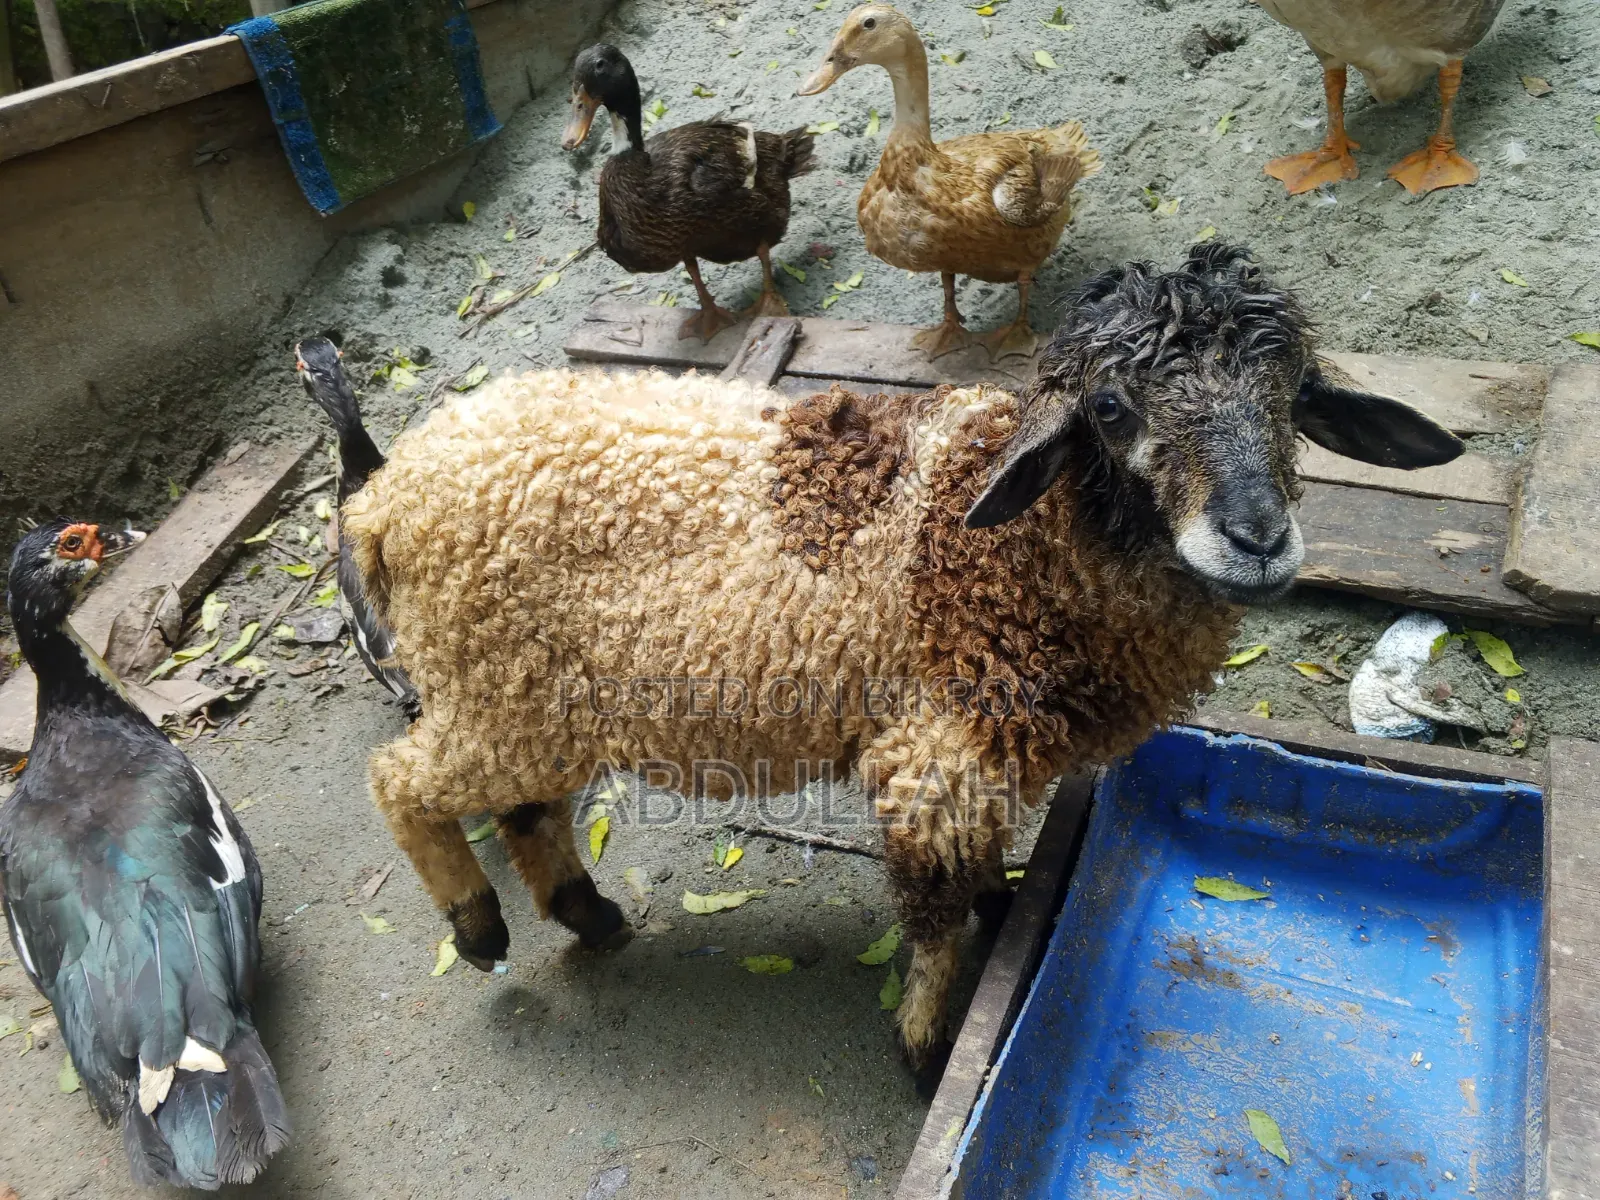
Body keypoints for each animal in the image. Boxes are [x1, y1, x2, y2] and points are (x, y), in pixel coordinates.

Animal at [337, 243, 1461, 1075]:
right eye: (1109, 408)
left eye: (1295, 395)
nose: (1256, 537)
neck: (1014, 550)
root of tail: (380, 501)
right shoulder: (935, 758)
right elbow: (931, 907)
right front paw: (924, 1045)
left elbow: (973, 872)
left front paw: (1005, 905)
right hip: (492, 687)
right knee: (403, 780)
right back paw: (479, 928)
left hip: (535, 697)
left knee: (525, 809)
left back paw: (587, 913)